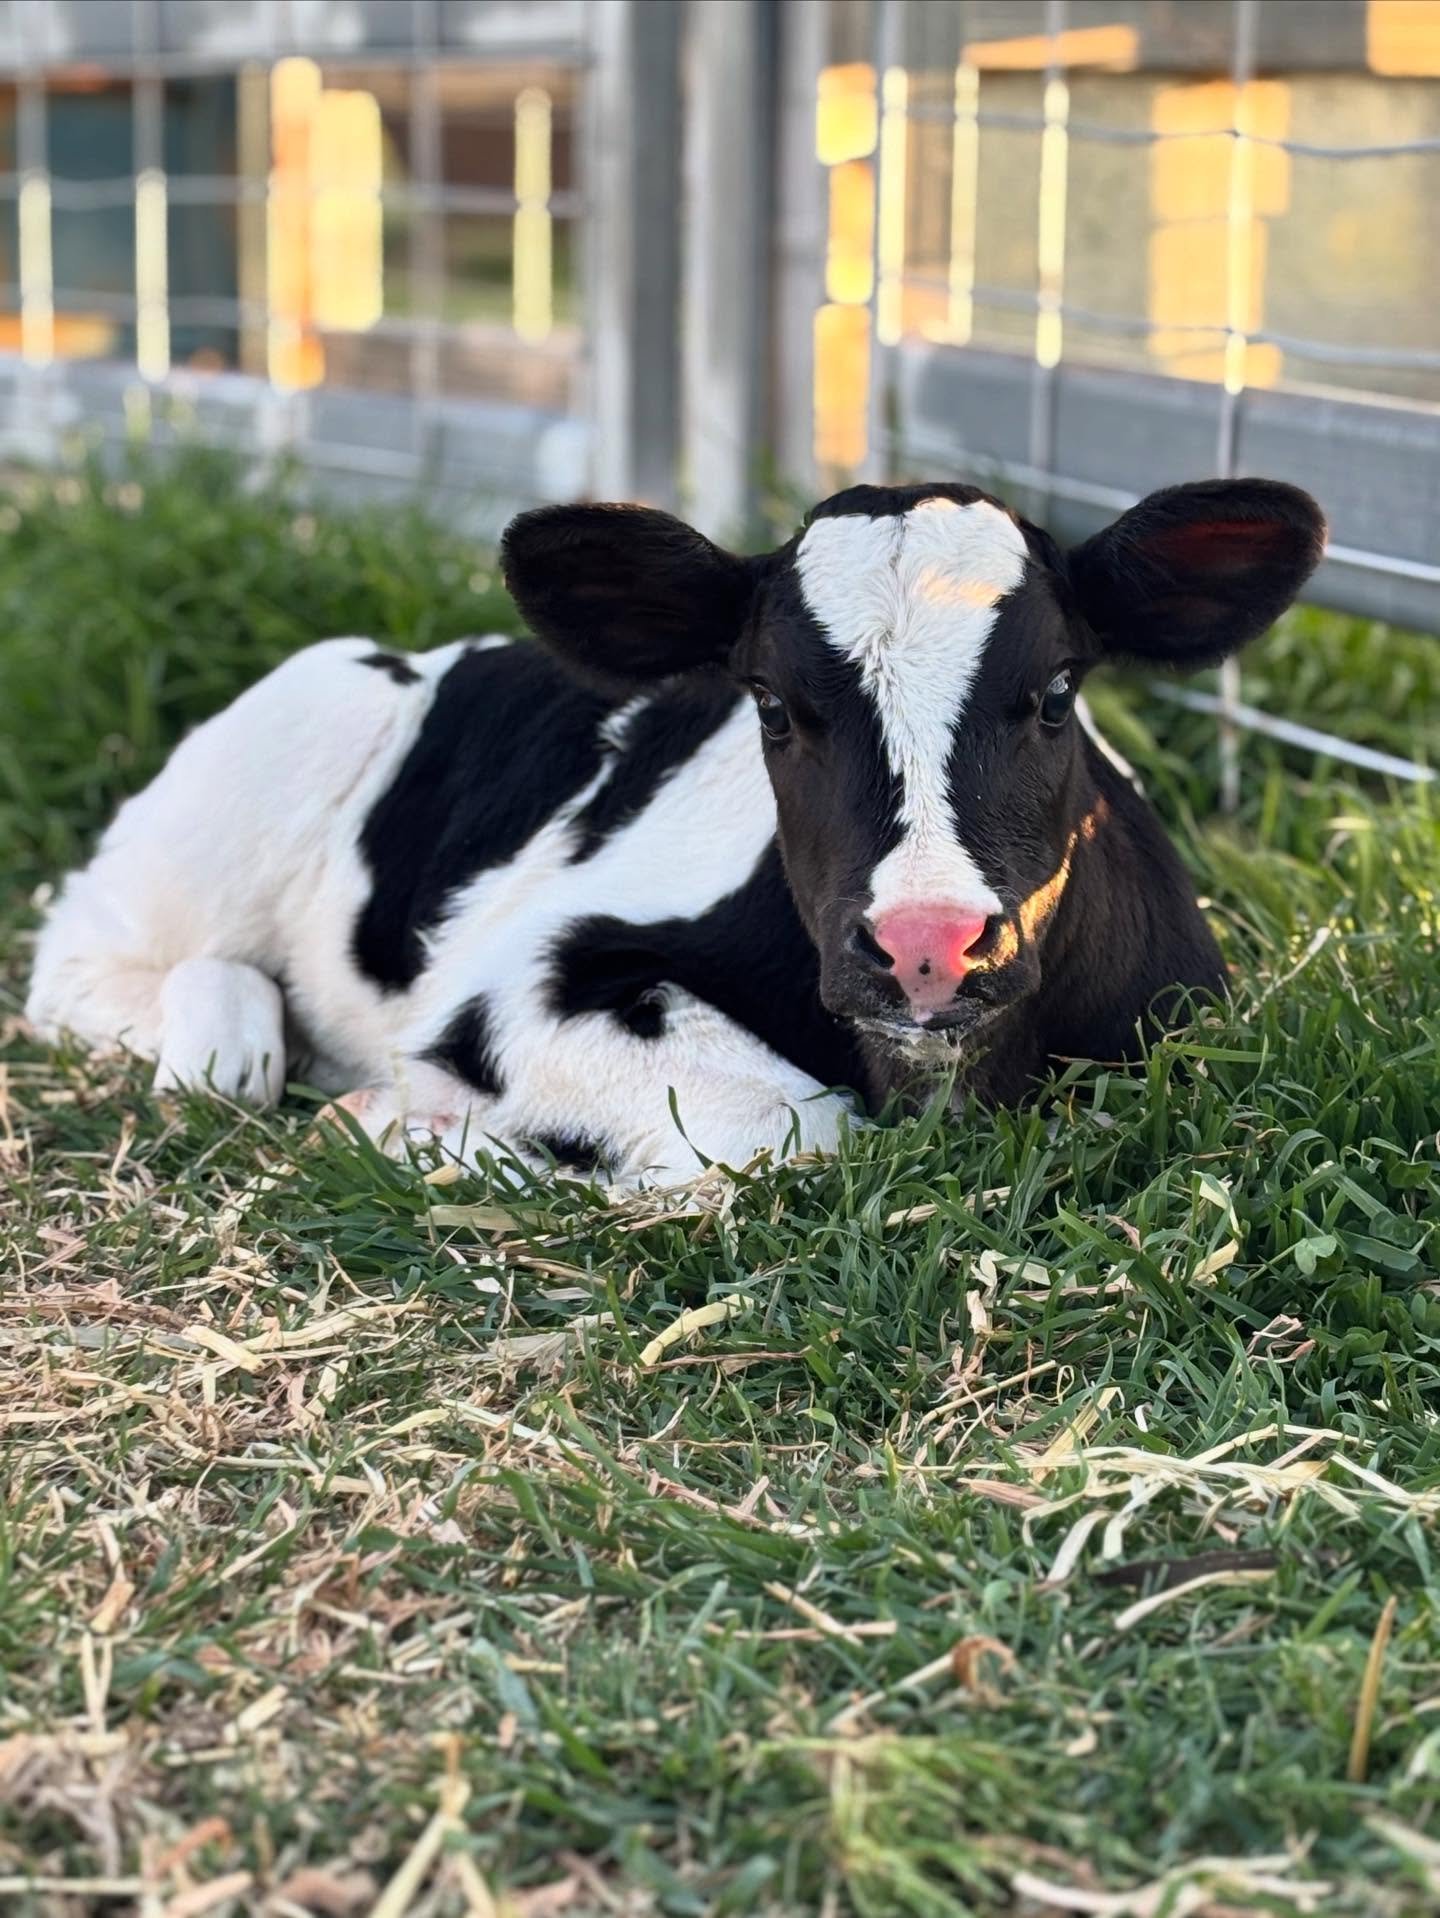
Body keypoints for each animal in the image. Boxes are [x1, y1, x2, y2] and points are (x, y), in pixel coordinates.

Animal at [25, 476, 1325, 1186]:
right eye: (771, 704)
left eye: (1057, 692)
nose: (926, 946)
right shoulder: (519, 980)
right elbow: (799, 1124)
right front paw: (414, 1131)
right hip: (261, 763)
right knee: (90, 964)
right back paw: (232, 1044)